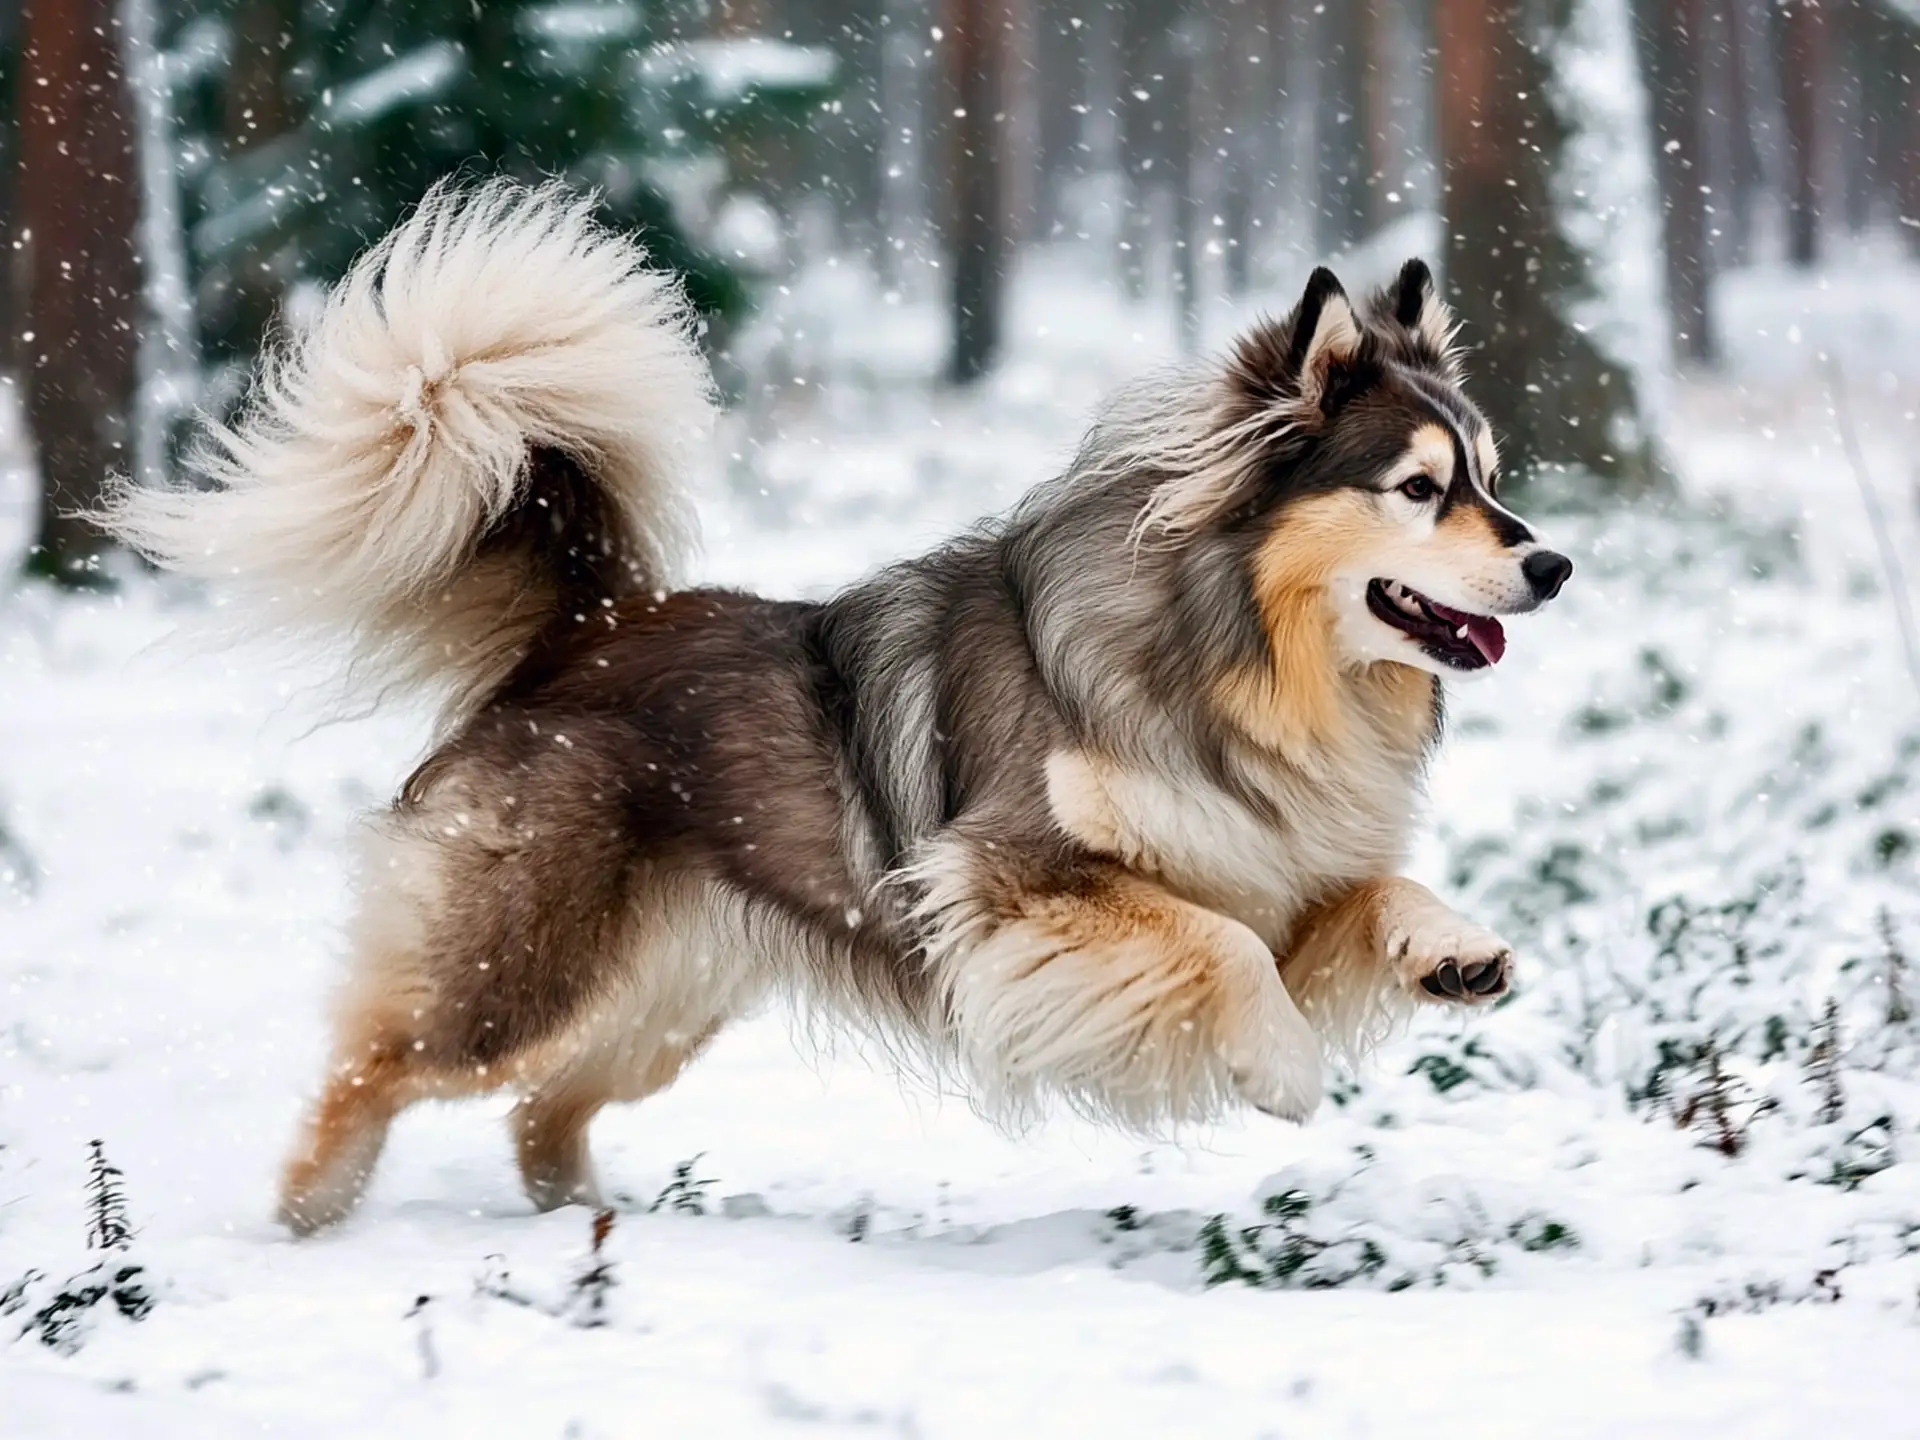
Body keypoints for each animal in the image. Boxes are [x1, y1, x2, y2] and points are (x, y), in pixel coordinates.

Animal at [105, 183, 1566, 1244]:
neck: (1246, 659)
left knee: (540, 1112)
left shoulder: (1268, 868)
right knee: (387, 1063)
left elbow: (1358, 900)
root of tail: (589, 628)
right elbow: (1219, 953)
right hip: (524, 967)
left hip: (663, 1001)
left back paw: (593, 1226)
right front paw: (1280, 1071)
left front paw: (1457, 950)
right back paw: (308, 1217)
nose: (1552, 563)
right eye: (1421, 488)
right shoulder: (1004, 885)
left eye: (1495, 477)